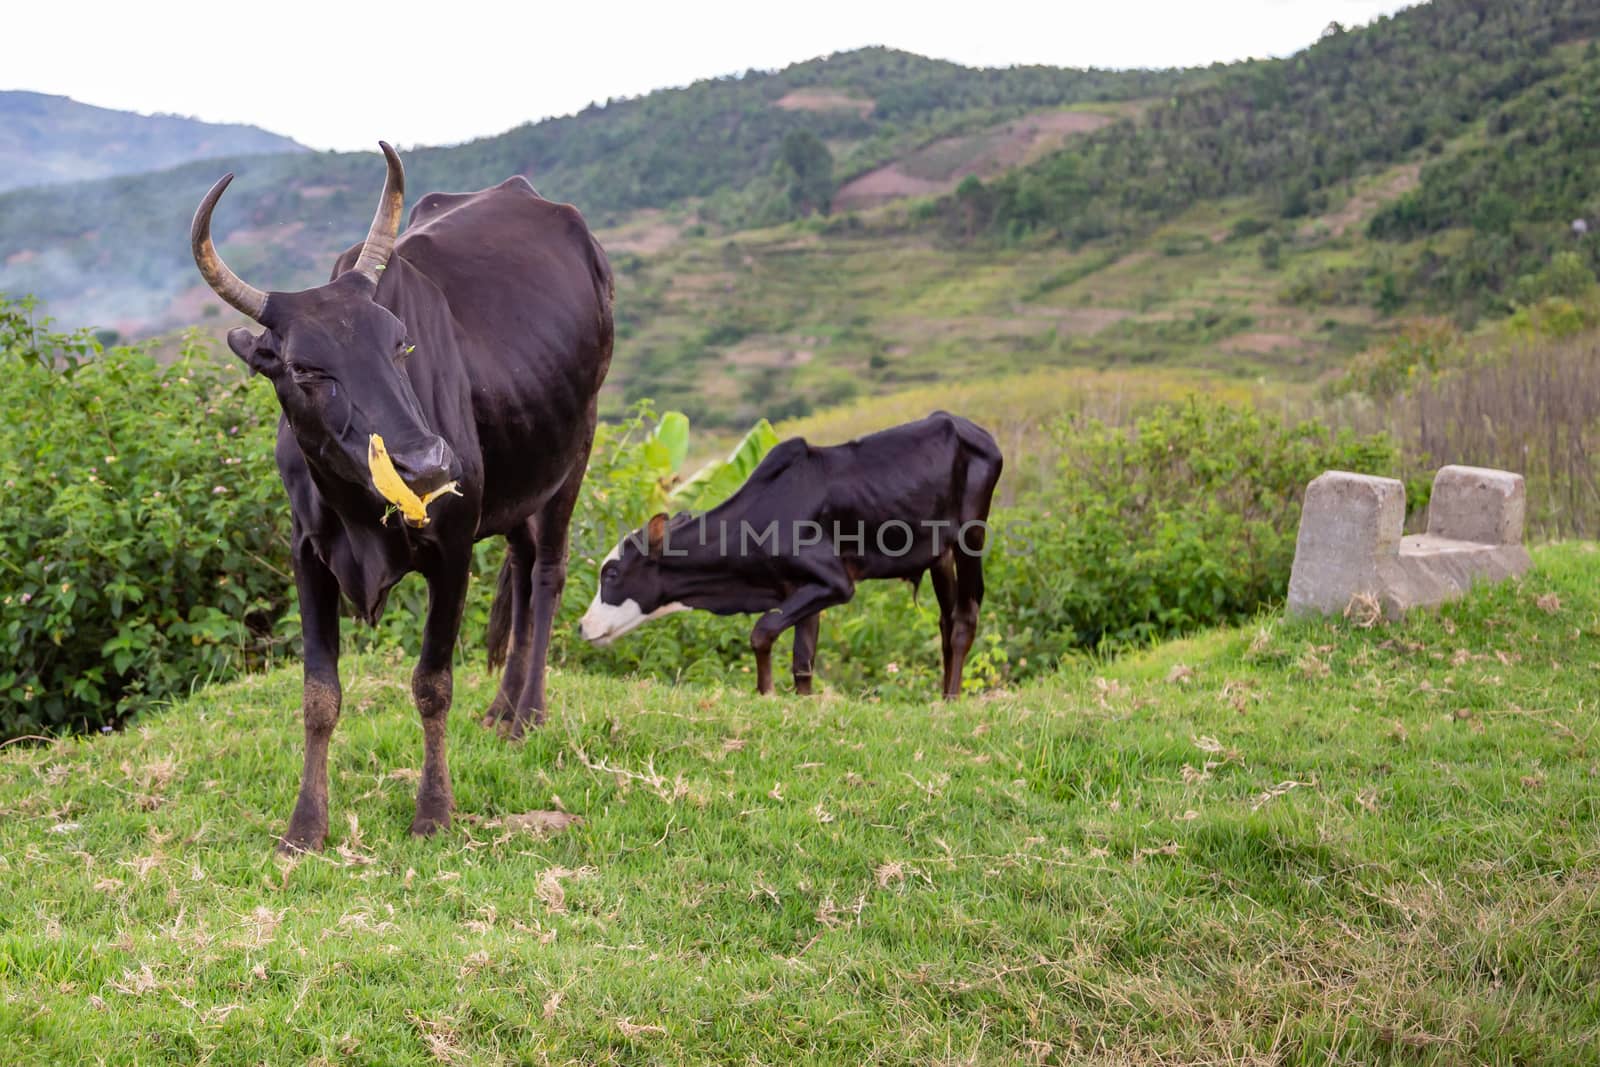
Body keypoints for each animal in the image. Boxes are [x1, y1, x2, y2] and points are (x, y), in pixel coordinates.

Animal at [188, 146, 611, 857]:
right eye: (305, 369)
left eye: (401, 344)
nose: (428, 464)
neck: (360, 514)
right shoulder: (308, 553)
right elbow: (319, 694)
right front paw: (305, 826)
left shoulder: (453, 546)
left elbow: (432, 684)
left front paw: (434, 811)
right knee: (524, 568)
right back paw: (501, 708)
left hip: (574, 448)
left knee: (549, 573)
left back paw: (528, 714)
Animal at [576, 412, 998, 697]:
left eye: (611, 574)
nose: (581, 626)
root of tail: (969, 428)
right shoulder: (801, 588)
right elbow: (802, 661)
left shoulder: (834, 582)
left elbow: (762, 631)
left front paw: (766, 693)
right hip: (940, 555)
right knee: (946, 621)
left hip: (971, 537)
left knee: (965, 619)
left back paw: (950, 700)